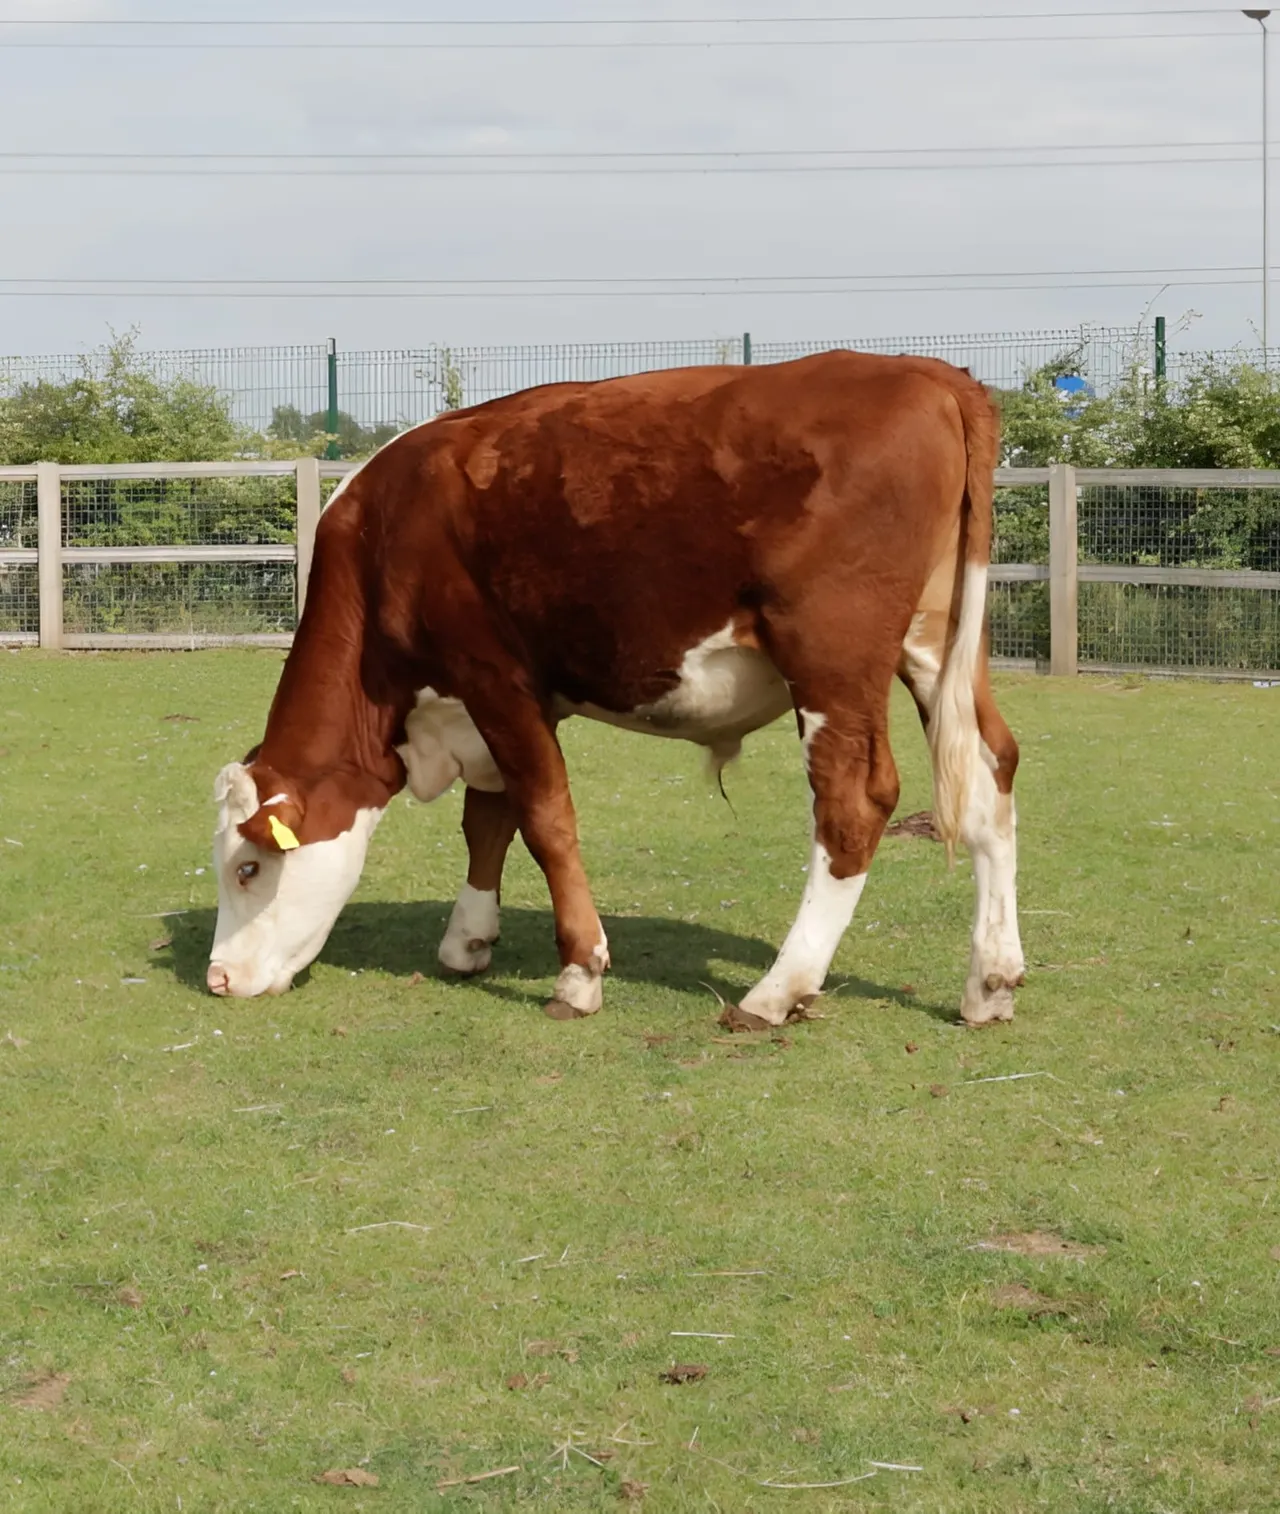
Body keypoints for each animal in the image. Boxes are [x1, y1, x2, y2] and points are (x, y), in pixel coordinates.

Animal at [207, 351, 1025, 1029]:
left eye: (248, 868)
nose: (217, 979)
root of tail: (923, 371)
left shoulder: (495, 678)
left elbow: (545, 820)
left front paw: (579, 973)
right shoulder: (492, 702)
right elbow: (488, 819)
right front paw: (468, 939)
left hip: (831, 656)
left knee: (852, 804)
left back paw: (776, 991)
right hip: (936, 642)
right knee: (993, 769)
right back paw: (990, 980)